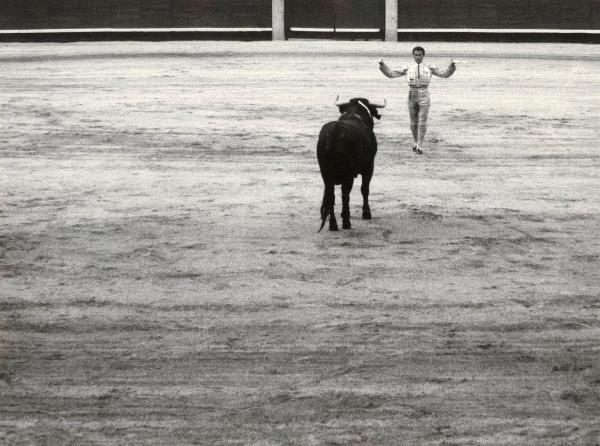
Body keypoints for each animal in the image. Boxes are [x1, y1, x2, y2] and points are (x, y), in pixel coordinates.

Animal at [318, 96, 384, 230]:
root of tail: (335, 130)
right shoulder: (369, 166)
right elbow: (364, 189)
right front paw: (366, 213)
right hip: (347, 174)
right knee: (345, 194)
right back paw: (346, 222)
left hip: (326, 174)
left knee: (331, 195)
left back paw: (333, 225)